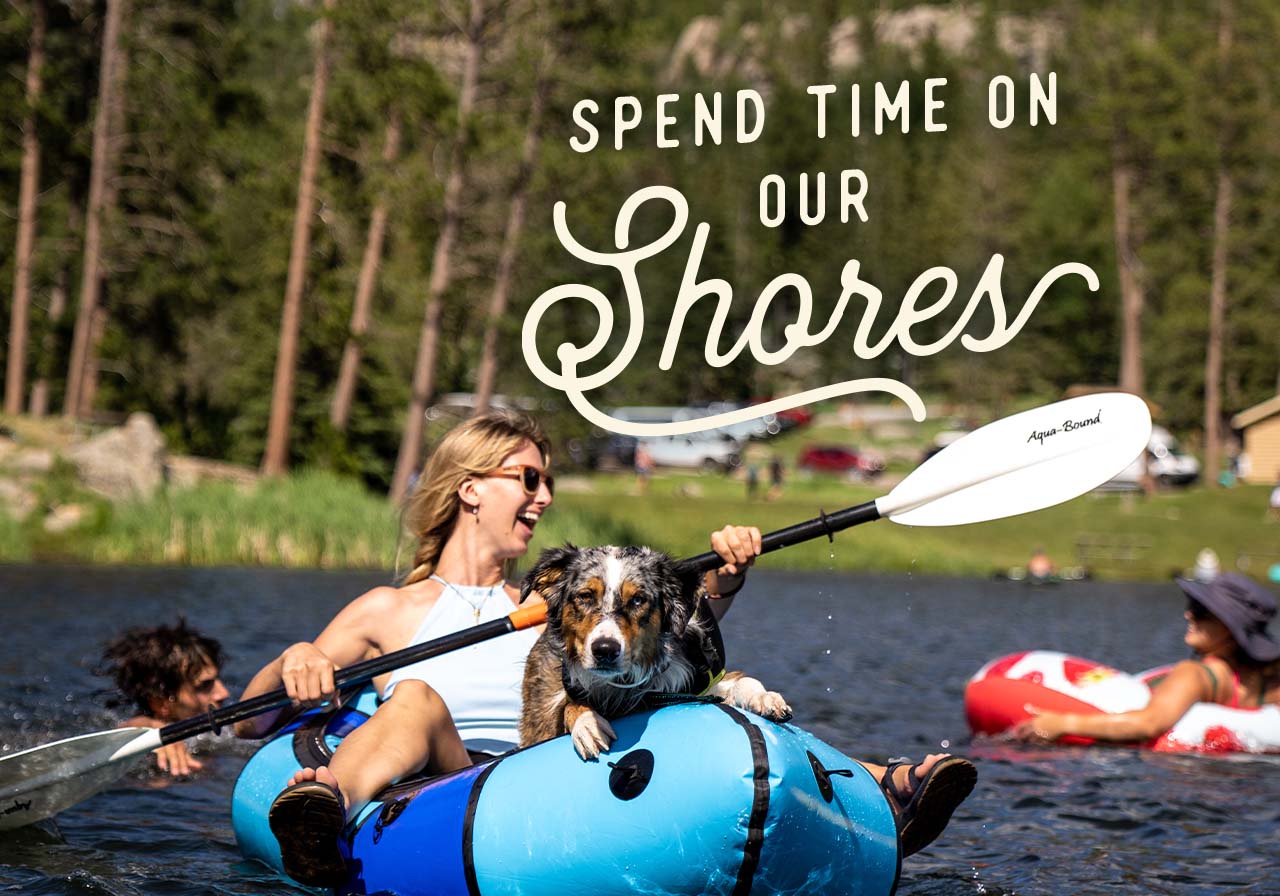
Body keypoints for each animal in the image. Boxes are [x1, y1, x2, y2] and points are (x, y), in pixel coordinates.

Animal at [519, 542, 788, 757]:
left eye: (638, 599)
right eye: (585, 596)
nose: (605, 650)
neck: (627, 686)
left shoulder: (700, 685)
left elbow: (743, 680)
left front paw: (762, 697)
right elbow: (569, 704)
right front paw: (587, 723)